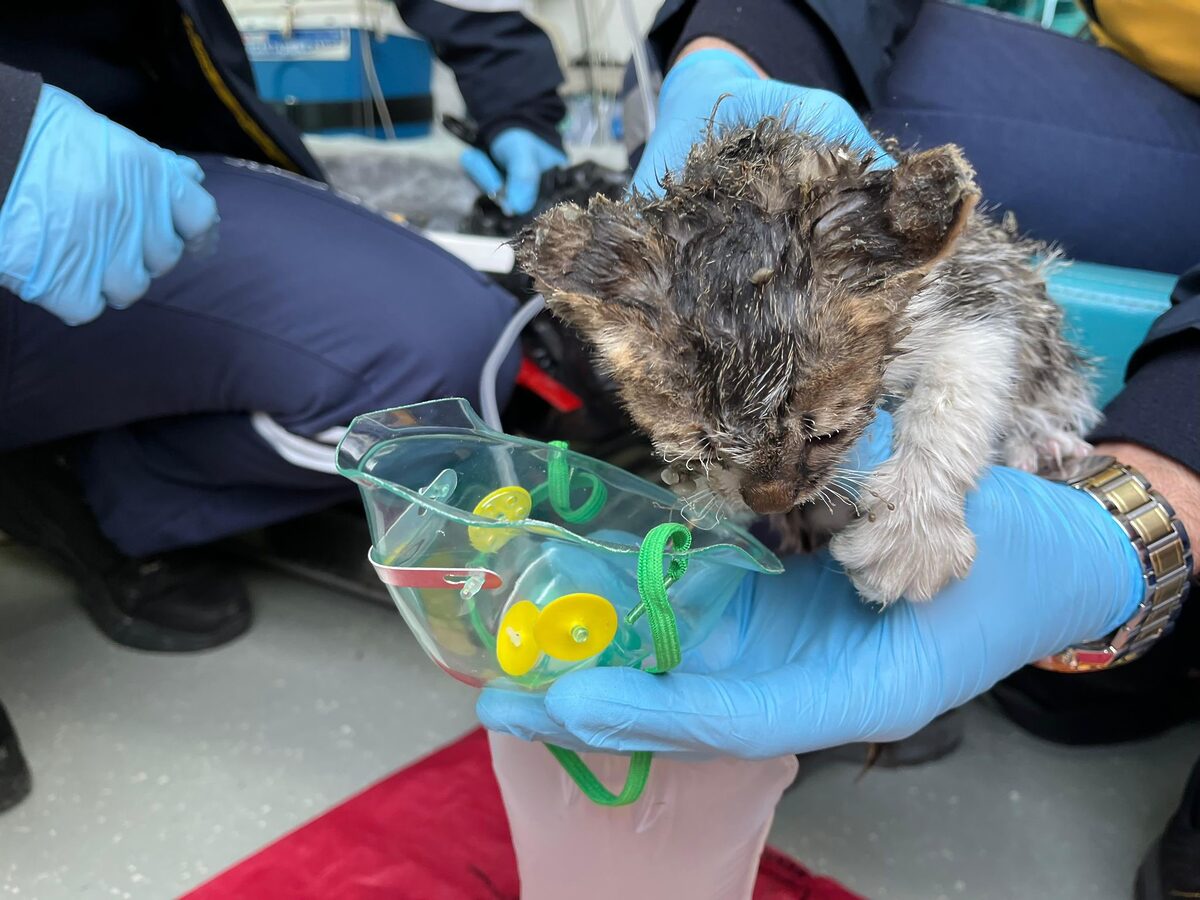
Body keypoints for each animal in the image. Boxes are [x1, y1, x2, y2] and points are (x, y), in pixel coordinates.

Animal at [513, 114, 1099, 607]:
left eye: (829, 435)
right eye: (703, 450)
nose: (770, 502)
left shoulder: (975, 297)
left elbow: (954, 402)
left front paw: (908, 535)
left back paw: (1041, 446)